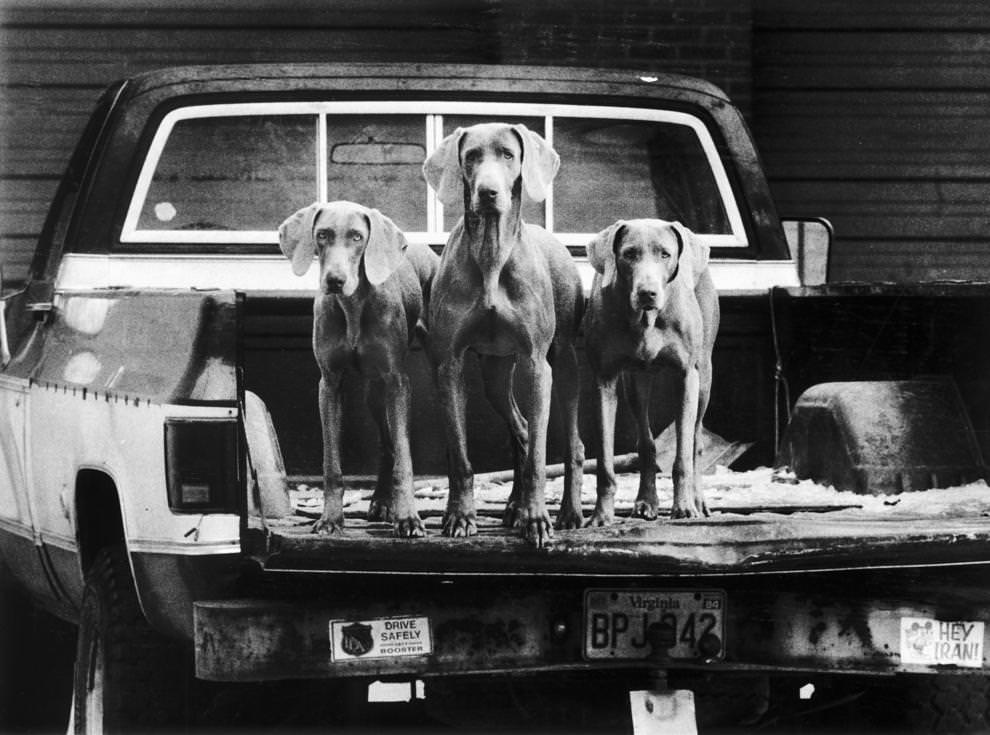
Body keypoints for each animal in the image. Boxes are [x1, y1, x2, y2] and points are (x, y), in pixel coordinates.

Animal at [276, 204, 438, 536]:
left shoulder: (398, 382)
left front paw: (409, 518)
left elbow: (405, 457)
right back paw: (381, 501)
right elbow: (332, 464)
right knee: (386, 444)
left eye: (357, 237)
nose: (335, 280)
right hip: (374, 394)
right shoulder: (329, 384)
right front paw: (330, 518)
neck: (352, 307)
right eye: (322, 235)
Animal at [422, 123, 584, 548]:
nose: (488, 192)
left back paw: (568, 513)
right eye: (471, 156)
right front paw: (460, 516)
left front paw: (537, 520)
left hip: (565, 364)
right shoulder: (449, 365)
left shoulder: (536, 364)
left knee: (570, 444)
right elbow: (460, 456)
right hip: (495, 372)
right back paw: (514, 506)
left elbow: (540, 458)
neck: (492, 254)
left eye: (509, 155)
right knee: (522, 429)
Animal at [588, 217, 720, 524]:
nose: (647, 293)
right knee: (646, 442)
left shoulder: (687, 376)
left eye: (665, 254)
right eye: (629, 254)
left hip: (704, 379)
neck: (646, 319)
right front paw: (602, 515)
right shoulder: (605, 379)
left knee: (695, 442)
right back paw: (646, 501)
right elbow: (605, 462)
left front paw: (684, 507)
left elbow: (683, 456)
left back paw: (698, 500)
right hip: (636, 383)